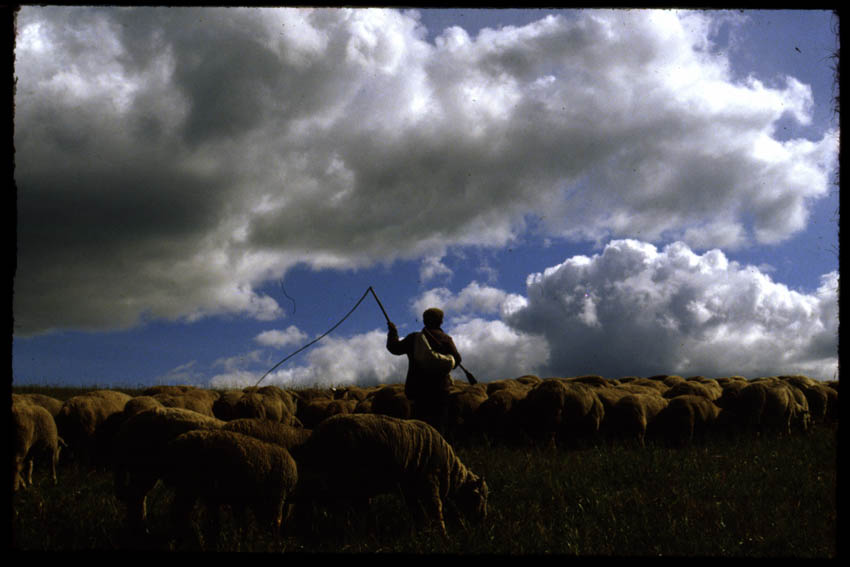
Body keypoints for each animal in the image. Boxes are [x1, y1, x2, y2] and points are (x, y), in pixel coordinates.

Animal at [296, 412, 484, 536]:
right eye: (478, 498)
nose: (481, 522)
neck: (450, 471)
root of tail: (316, 435)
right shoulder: (430, 482)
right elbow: (435, 509)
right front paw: (442, 536)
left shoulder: (410, 488)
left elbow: (416, 510)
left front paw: (421, 530)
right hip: (336, 479)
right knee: (331, 506)